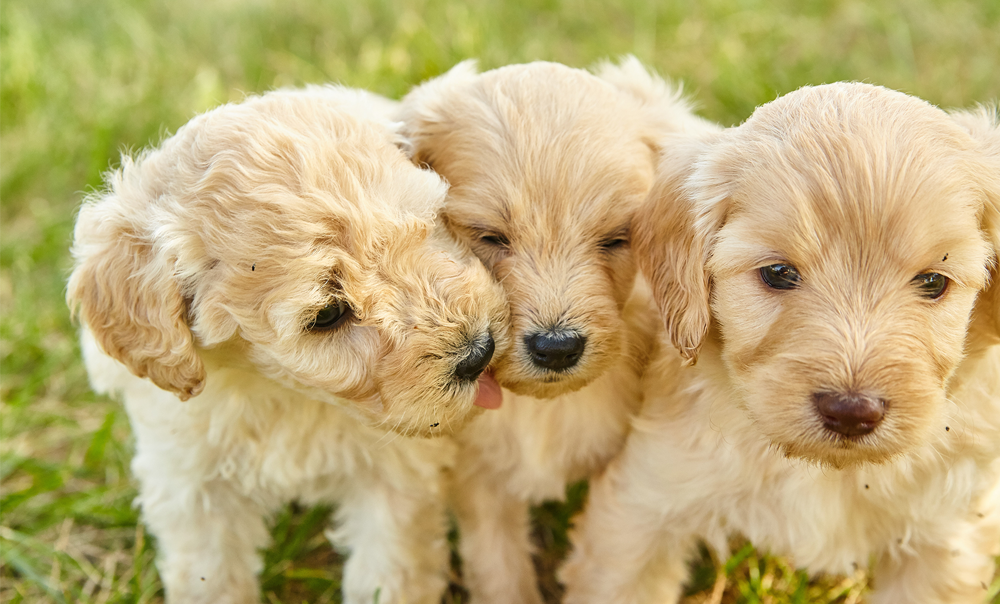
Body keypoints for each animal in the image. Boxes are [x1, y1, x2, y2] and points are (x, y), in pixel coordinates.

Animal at [66, 85, 512, 604]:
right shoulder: (191, 484)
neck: (282, 393)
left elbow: (390, 568)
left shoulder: (396, 476)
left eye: (430, 224)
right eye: (328, 315)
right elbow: (210, 576)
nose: (479, 352)